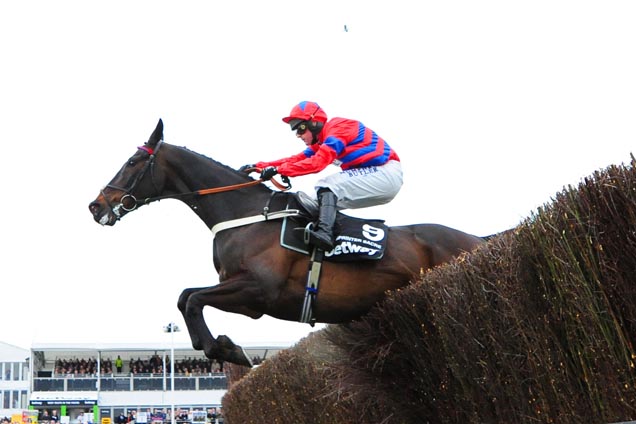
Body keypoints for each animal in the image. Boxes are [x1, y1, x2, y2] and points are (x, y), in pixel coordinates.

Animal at [88, 120, 486, 368]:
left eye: (133, 161)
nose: (96, 206)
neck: (248, 215)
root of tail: (479, 239)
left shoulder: (259, 290)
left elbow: (193, 299)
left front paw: (227, 349)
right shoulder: (245, 296)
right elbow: (186, 297)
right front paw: (220, 346)